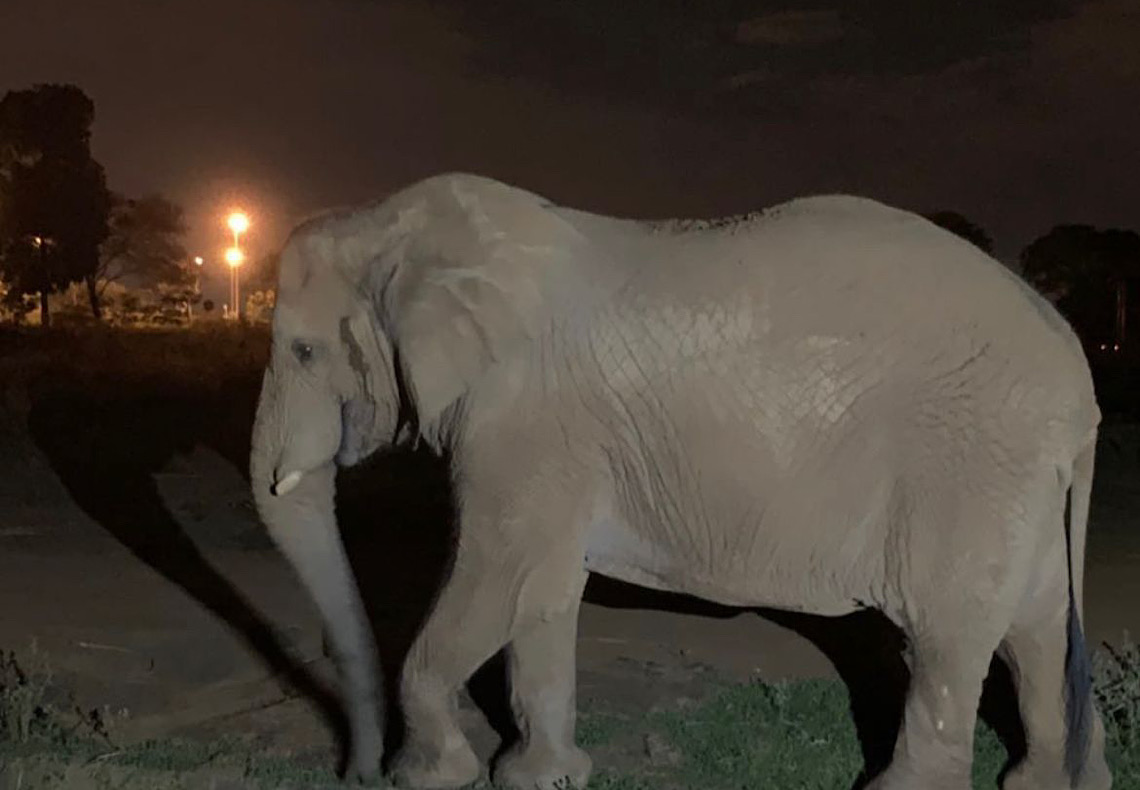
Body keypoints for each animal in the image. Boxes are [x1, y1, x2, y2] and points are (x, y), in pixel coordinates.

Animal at [249, 174, 1112, 788]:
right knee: (1035, 627)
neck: (387, 223)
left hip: (970, 462)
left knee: (947, 634)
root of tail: (1077, 370)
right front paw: (543, 780)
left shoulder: (523, 424)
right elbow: (543, 592)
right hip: (1019, 476)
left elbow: (498, 575)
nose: (353, 772)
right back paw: (1049, 783)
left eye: (301, 351)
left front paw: (432, 779)